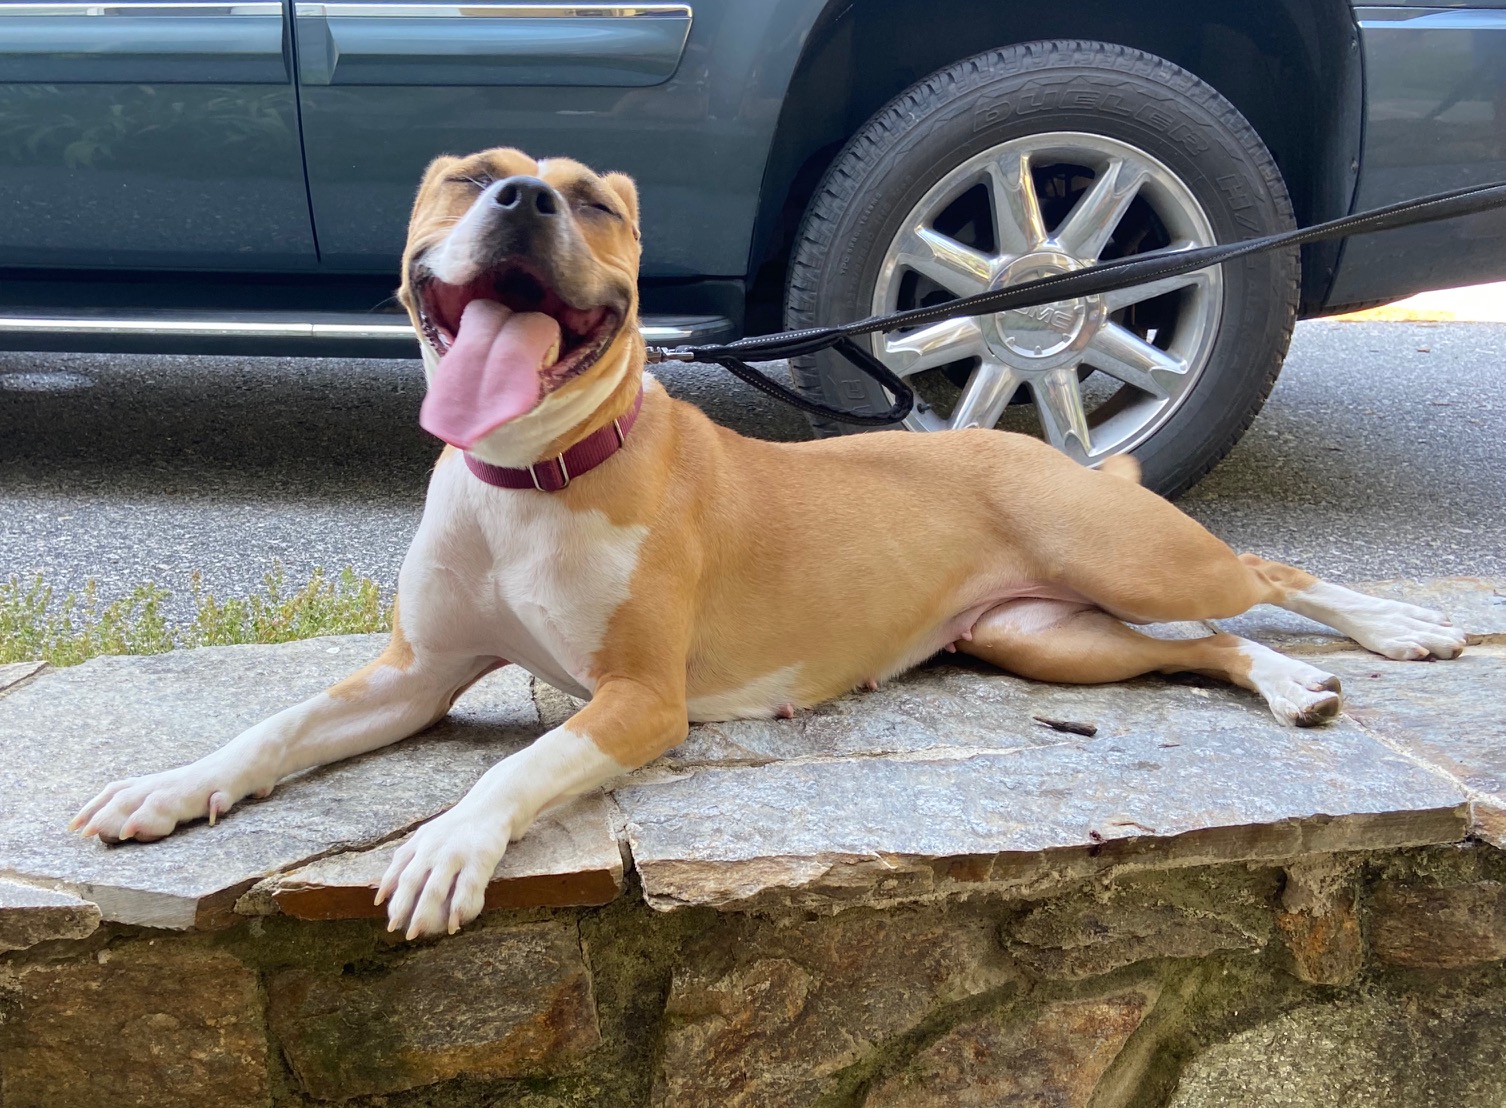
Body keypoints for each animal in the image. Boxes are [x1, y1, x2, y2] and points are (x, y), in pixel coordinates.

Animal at [72, 148, 1467, 939]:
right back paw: (1287, 684)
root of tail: (1034, 442)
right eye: (469, 179)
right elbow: (272, 731)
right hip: (1046, 638)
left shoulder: (639, 700)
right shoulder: (412, 673)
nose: (525, 200)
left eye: (593, 201)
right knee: (1201, 646)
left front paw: (446, 844)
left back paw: (1395, 626)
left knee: (1262, 577)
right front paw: (166, 786)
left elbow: (515, 768)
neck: (532, 469)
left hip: (1124, 555)